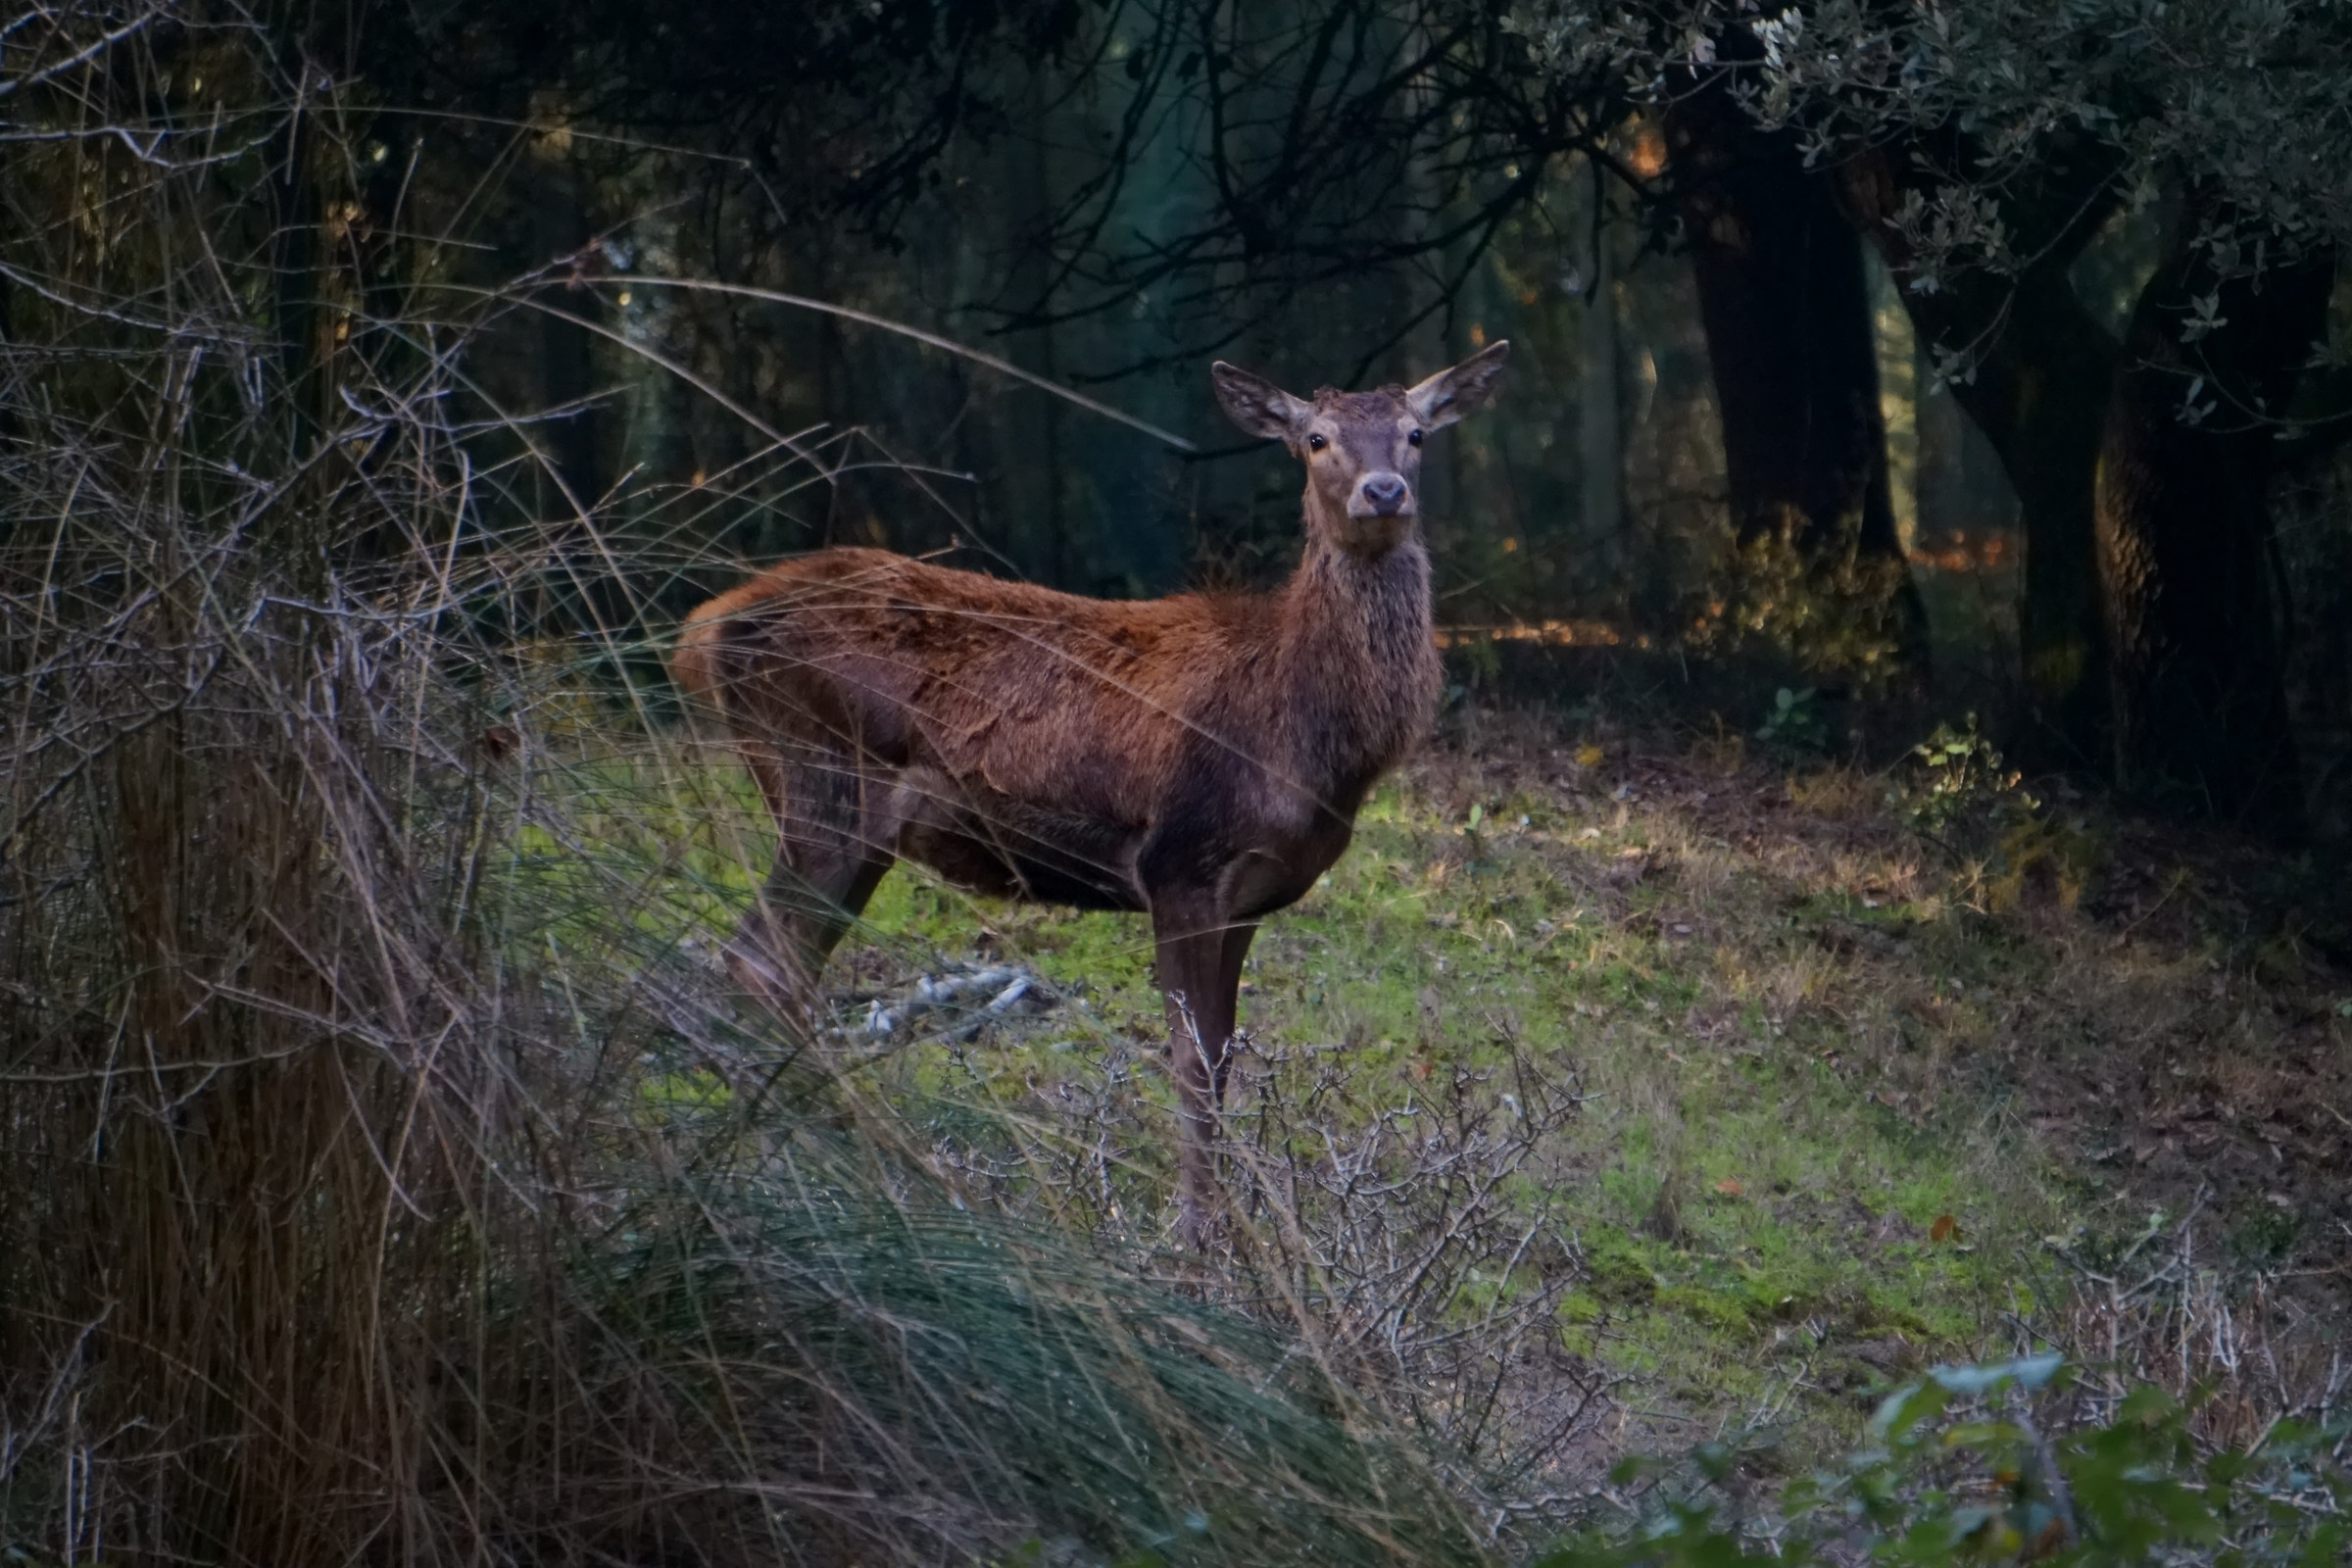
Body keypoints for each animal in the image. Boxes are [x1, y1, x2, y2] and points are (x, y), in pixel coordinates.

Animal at [672, 341, 1509, 1238]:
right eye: (1315, 439)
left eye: (1416, 433)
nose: (1383, 491)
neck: (1304, 734)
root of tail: (707, 626)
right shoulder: (1178, 861)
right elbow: (1189, 1063)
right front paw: (1197, 1239)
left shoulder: (1250, 895)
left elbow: (1224, 1055)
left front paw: (1229, 1226)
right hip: (821, 780)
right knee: (757, 965)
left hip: (850, 823)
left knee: (774, 970)